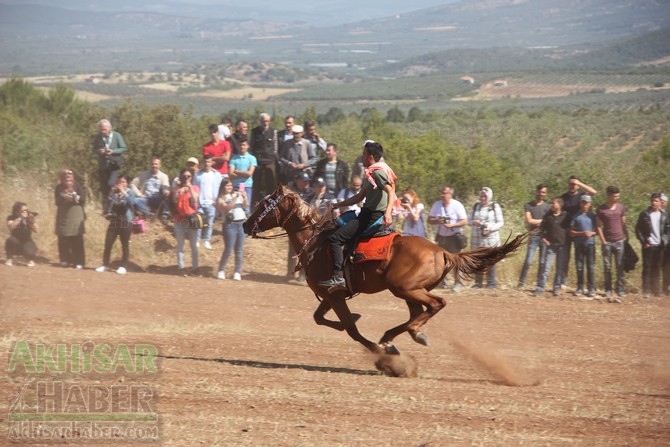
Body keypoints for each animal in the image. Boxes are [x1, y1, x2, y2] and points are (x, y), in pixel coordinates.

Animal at [244, 185, 528, 356]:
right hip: (410, 291)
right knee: (420, 312)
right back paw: (403, 335)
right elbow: (321, 318)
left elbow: (351, 329)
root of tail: (442, 252)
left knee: (436, 304)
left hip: (404, 288)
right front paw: (359, 321)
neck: (315, 242)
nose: (246, 225)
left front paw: (377, 349)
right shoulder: (331, 295)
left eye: (264, 204)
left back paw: (399, 337)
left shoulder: (334, 295)